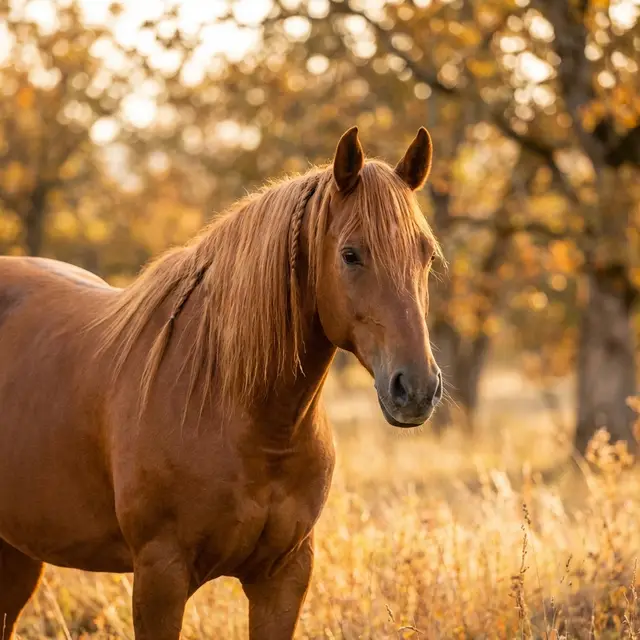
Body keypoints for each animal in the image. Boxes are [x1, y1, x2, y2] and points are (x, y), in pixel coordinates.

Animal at [0, 126, 443, 639]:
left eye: (426, 254)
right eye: (351, 255)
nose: (416, 389)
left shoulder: (284, 577)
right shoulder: (161, 576)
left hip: (18, 552)